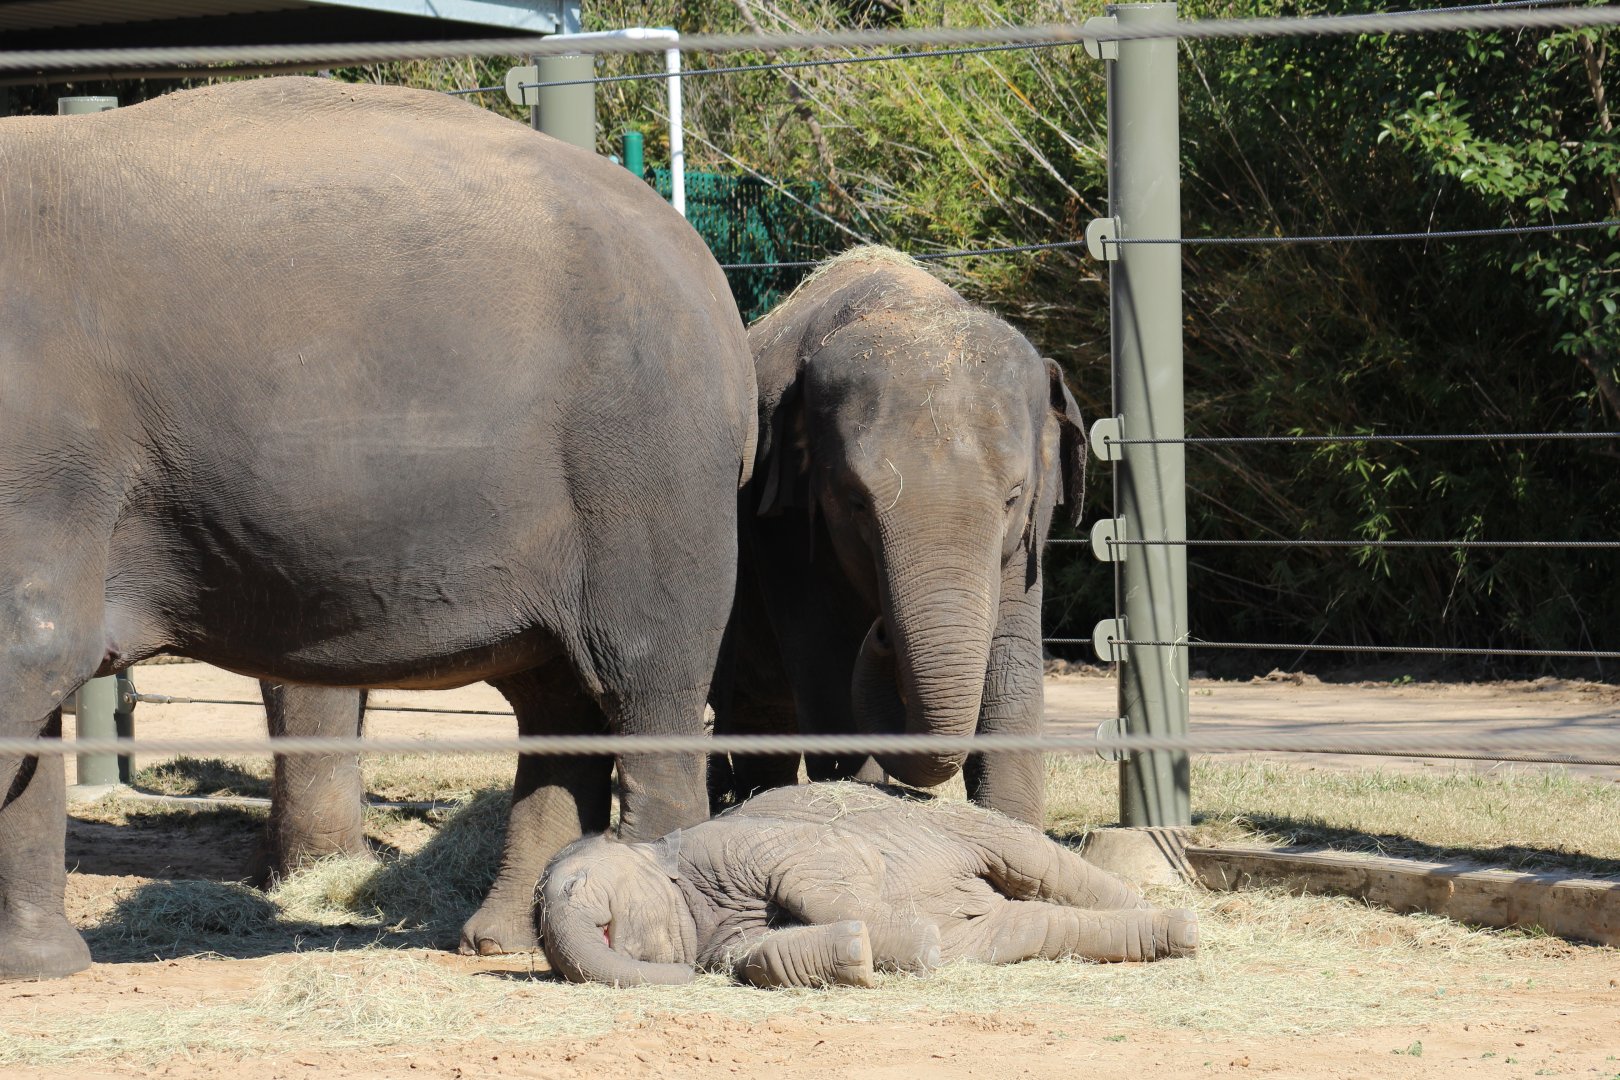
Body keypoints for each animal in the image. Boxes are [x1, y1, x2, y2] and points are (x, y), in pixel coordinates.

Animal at [0, 76, 757, 980]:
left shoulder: (42, 447)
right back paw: (502, 936)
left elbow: (32, 651)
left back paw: (654, 934)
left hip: (649, 473)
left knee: (644, 685)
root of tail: (708, 275)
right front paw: (40, 967)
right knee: (557, 698)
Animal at [539, 782, 1196, 987]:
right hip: (1007, 922)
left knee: (1041, 865)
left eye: (573, 886)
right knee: (1035, 927)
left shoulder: (737, 843)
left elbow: (831, 864)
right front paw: (862, 952)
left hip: (963, 823)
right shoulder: (719, 943)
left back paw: (1181, 921)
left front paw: (908, 938)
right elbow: (761, 957)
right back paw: (1173, 934)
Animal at [711, 247, 1086, 826]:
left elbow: (1011, 672)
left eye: (1014, 496)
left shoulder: (1028, 541)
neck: (909, 303)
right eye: (856, 502)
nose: (884, 631)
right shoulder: (782, 529)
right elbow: (830, 678)